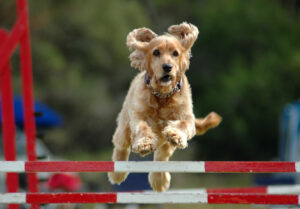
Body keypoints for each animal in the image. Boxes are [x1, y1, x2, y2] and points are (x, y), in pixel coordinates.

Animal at [107, 22, 220, 192]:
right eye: (156, 52)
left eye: (175, 53)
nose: (167, 67)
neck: (162, 94)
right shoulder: (138, 115)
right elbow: (142, 127)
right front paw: (145, 144)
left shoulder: (186, 116)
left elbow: (183, 124)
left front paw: (175, 135)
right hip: (124, 126)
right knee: (121, 146)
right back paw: (117, 174)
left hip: (165, 146)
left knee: (161, 157)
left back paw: (159, 180)